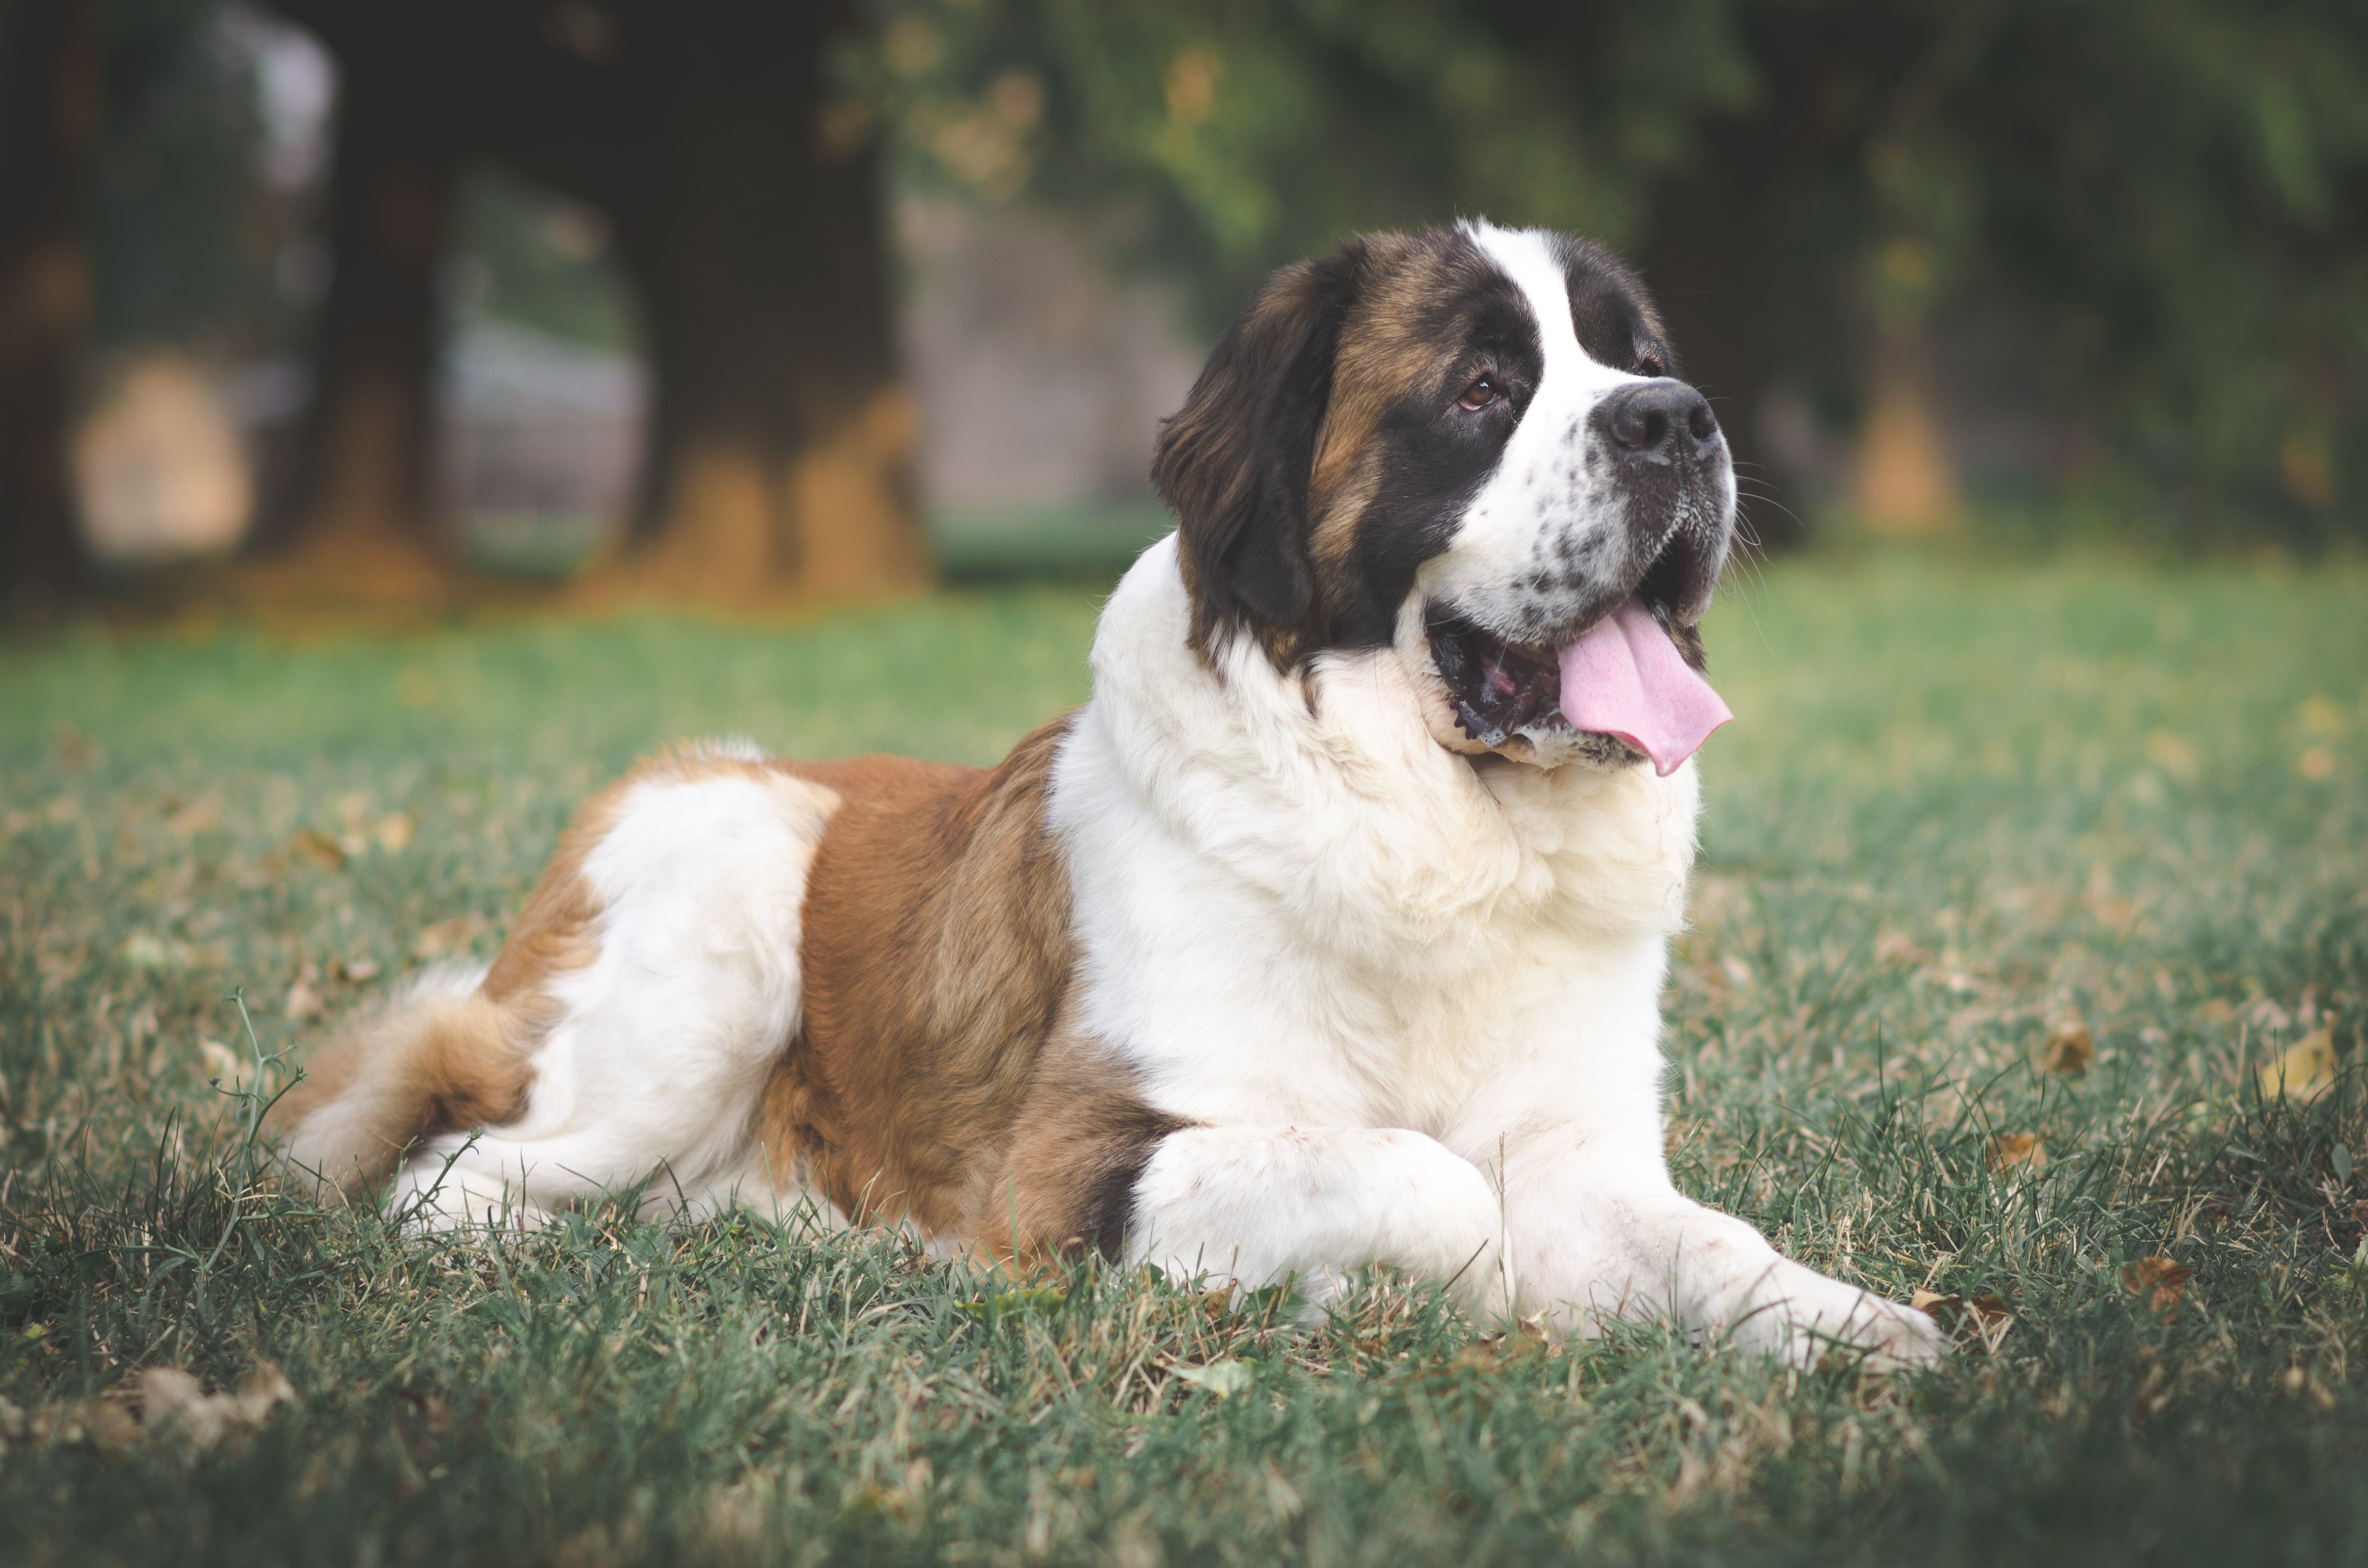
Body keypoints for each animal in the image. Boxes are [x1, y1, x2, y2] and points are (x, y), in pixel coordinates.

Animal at [272, 221, 1941, 1374]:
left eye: (1634, 355)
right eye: (1483, 389)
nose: (1677, 419)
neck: (1432, 833)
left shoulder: (1585, 1149)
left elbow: (1703, 1239)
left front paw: (1856, 1326)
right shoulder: (1077, 1159)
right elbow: (1431, 1185)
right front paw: (1423, 1296)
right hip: (724, 900)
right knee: (451, 1176)